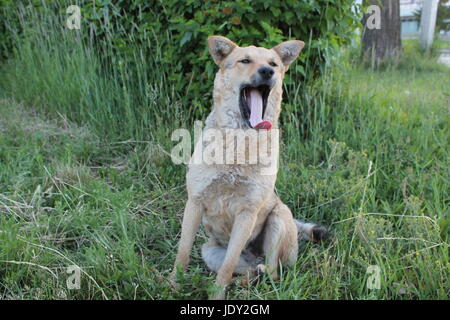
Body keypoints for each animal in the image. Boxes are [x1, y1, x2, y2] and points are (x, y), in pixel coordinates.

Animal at [171, 36, 326, 298]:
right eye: (245, 61)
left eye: (273, 63)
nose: (267, 72)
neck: (239, 143)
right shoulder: (195, 202)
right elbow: (182, 254)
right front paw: (171, 285)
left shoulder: (247, 213)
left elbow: (227, 267)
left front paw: (216, 296)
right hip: (208, 251)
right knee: (252, 271)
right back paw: (244, 282)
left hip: (277, 219)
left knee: (273, 272)